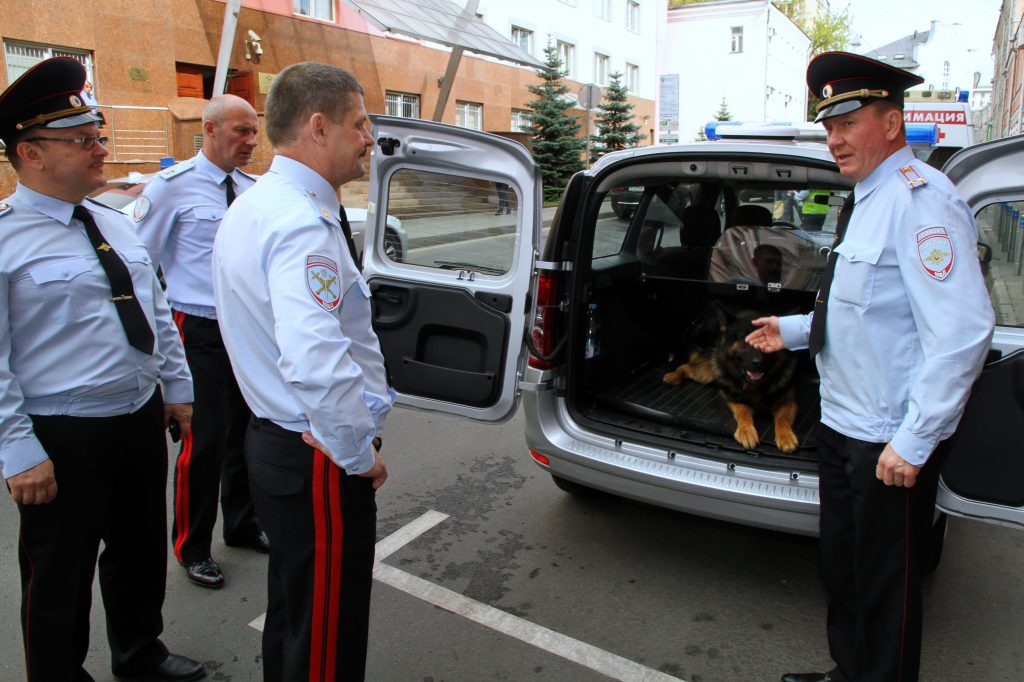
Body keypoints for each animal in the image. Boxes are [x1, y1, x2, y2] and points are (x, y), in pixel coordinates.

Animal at [663, 307, 798, 450]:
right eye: (744, 339)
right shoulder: (734, 399)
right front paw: (746, 431)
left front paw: (786, 436)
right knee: (685, 366)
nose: (758, 362)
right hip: (707, 374)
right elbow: (743, 413)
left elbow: (782, 419)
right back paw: (673, 376)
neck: (754, 386)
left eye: (766, 339)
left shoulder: (788, 402)